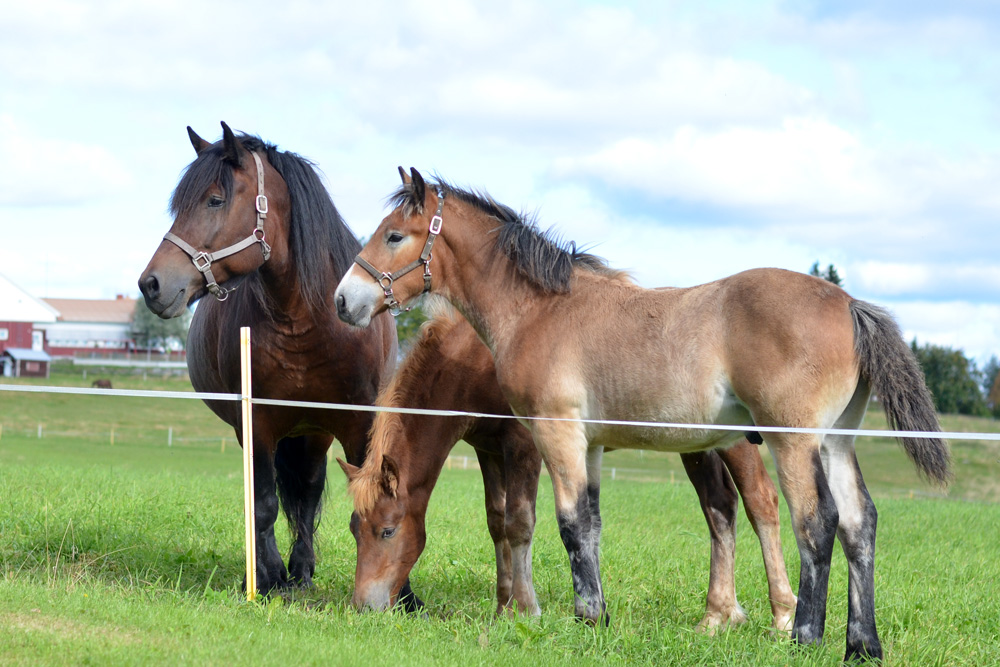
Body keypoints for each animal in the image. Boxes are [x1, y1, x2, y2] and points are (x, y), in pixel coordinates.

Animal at [136, 122, 414, 604]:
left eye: (214, 199)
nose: (151, 284)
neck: (306, 319)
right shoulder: (257, 424)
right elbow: (264, 503)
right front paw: (269, 580)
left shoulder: (358, 423)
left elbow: (374, 497)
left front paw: (405, 596)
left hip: (315, 431)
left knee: (308, 491)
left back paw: (303, 569)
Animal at [340, 308, 792, 632]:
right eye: (353, 529)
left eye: (387, 531)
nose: (363, 608)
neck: (474, 359)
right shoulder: (489, 451)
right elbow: (497, 522)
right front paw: (503, 607)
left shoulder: (524, 446)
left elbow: (519, 522)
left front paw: (524, 610)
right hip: (697, 446)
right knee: (720, 507)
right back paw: (720, 615)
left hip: (734, 444)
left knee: (760, 502)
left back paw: (780, 618)